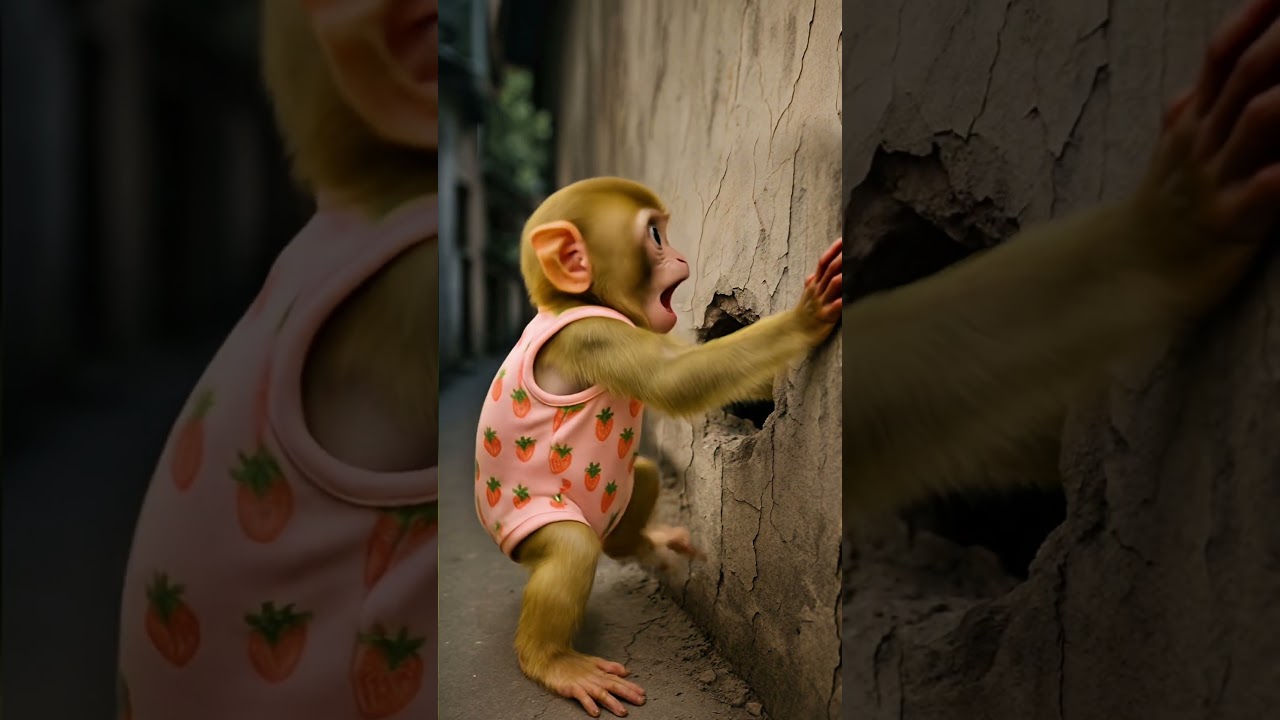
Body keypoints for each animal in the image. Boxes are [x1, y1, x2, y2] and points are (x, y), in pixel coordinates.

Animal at [472, 177, 844, 717]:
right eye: (655, 236)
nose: (683, 256)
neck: (570, 303)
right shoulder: (594, 335)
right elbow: (674, 382)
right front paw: (806, 318)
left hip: (616, 497)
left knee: (639, 478)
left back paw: (639, 544)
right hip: (521, 527)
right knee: (573, 546)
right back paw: (554, 662)